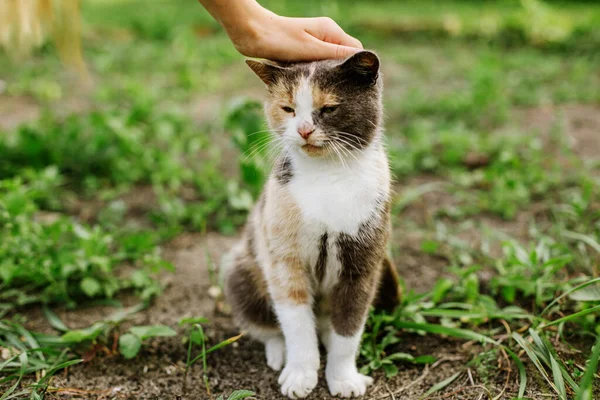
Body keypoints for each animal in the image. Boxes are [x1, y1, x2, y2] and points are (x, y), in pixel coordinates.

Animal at [223, 51, 400, 398]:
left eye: (329, 108)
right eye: (288, 109)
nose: (304, 129)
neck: (327, 175)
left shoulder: (362, 267)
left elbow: (348, 330)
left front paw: (343, 378)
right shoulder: (284, 262)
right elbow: (297, 326)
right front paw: (300, 375)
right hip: (240, 270)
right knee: (267, 327)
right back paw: (278, 354)